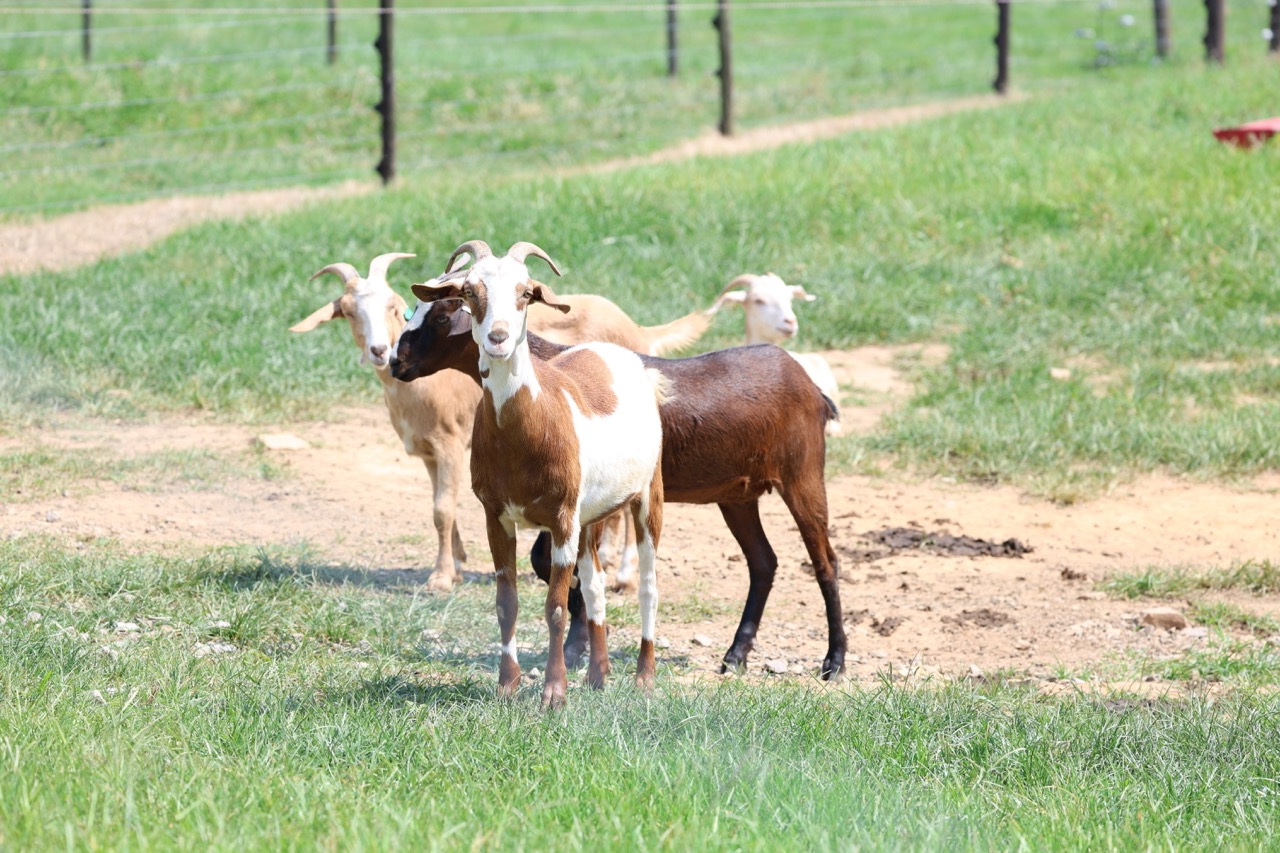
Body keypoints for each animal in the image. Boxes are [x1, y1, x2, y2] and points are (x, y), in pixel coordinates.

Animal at [288, 249, 481, 589]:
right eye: (348, 312)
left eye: (392, 306)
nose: (379, 350)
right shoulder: (429, 451)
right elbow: (443, 508)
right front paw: (456, 565)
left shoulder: (451, 442)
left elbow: (443, 510)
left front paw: (441, 577)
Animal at [412, 239, 670, 701]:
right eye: (469, 293)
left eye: (526, 292)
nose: (498, 337)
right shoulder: (497, 516)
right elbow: (507, 602)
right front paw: (507, 685)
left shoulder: (562, 518)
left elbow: (555, 607)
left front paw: (554, 692)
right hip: (590, 517)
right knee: (595, 584)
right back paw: (598, 676)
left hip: (647, 494)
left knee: (648, 585)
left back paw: (644, 677)